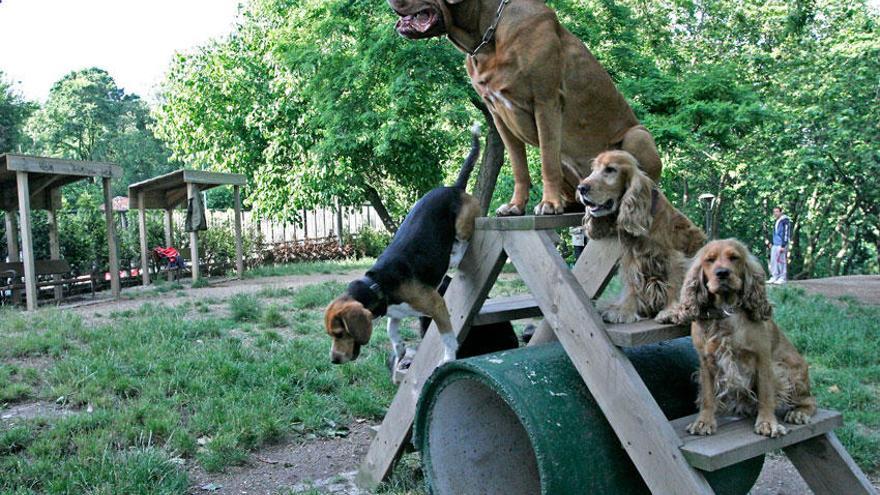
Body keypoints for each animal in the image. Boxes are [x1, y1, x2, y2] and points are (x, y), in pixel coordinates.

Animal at [386, 0, 660, 217]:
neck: (488, 38)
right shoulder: (498, 116)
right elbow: (519, 167)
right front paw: (516, 206)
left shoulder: (545, 102)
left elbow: (547, 162)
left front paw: (549, 203)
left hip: (638, 136)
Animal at [580, 151, 704, 326]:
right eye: (593, 170)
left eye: (610, 170)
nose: (581, 188)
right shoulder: (632, 258)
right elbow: (633, 284)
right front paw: (624, 310)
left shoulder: (674, 257)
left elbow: (674, 283)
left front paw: (671, 311)